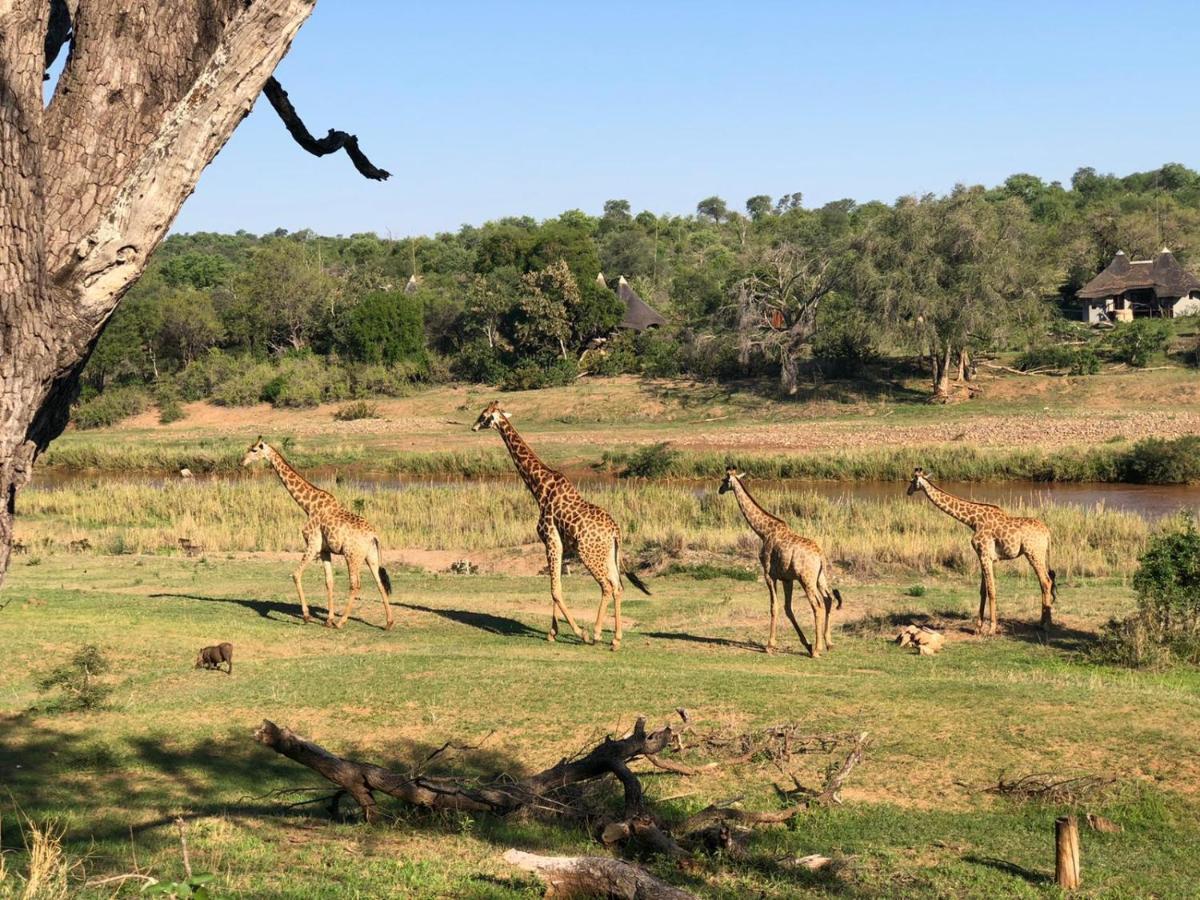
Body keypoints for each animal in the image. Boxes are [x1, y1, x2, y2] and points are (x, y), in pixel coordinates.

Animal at [241, 441, 396, 628]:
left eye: (254, 450)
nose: (242, 462)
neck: (308, 505)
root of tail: (373, 535)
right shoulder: (324, 550)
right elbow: (329, 581)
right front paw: (328, 619)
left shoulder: (312, 544)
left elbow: (296, 574)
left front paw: (307, 616)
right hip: (370, 556)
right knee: (380, 583)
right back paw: (388, 622)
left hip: (352, 555)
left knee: (355, 584)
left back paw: (342, 622)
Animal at [472, 400, 652, 648]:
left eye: (483, 416)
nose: (473, 427)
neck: (539, 488)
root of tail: (616, 532)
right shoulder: (561, 544)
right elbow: (557, 586)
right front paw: (552, 632)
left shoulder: (550, 539)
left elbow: (555, 590)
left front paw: (577, 632)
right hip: (608, 554)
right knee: (618, 586)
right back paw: (616, 639)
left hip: (588, 553)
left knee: (606, 586)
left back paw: (596, 634)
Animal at [720, 472, 844, 657]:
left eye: (723, 480)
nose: (719, 490)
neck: (763, 532)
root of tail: (820, 556)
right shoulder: (787, 578)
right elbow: (788, 608)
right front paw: (806, 643)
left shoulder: (768, 574)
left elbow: (774, 607)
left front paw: (769, 645)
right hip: (820, 577)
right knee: (828, 599)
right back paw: (828, 643)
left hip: (806, 579)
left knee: (818, 605)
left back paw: (817, 650)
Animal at [902, 468, 1056, 638]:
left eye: (912, 481)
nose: (908, 491)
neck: (973, 520)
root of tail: (1048, 533)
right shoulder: (983, 556)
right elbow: (983, 591)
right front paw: (978, 628)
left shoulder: (985, 555)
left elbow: (991, 590)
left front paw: (991, 629)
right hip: (1039, 554)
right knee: (1046, 582)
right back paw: (1043, 623)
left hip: (1033, 553)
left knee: (1046, 581)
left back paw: (1046, 625)